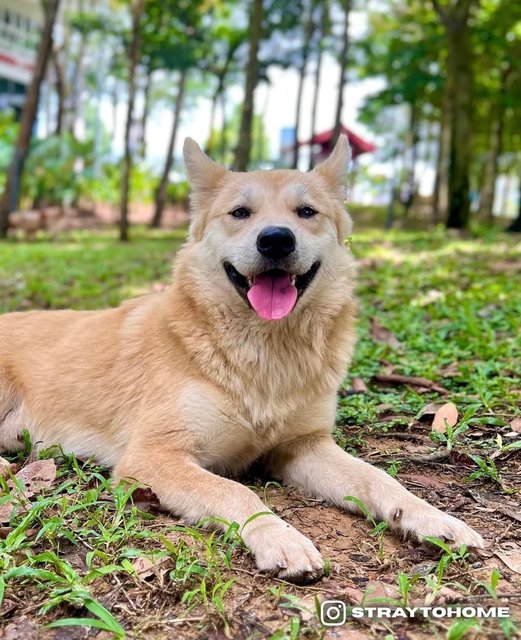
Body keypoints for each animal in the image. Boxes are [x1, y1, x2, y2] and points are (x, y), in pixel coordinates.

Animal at [0, 138, 484, 584]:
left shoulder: (304, 447)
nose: (276, 240)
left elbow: (378, 479)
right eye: (239, 213)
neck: (264, 349)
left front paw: (434, 519)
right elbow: (235, 491)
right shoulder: (152, 458)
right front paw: (280, 537)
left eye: (306, 211)